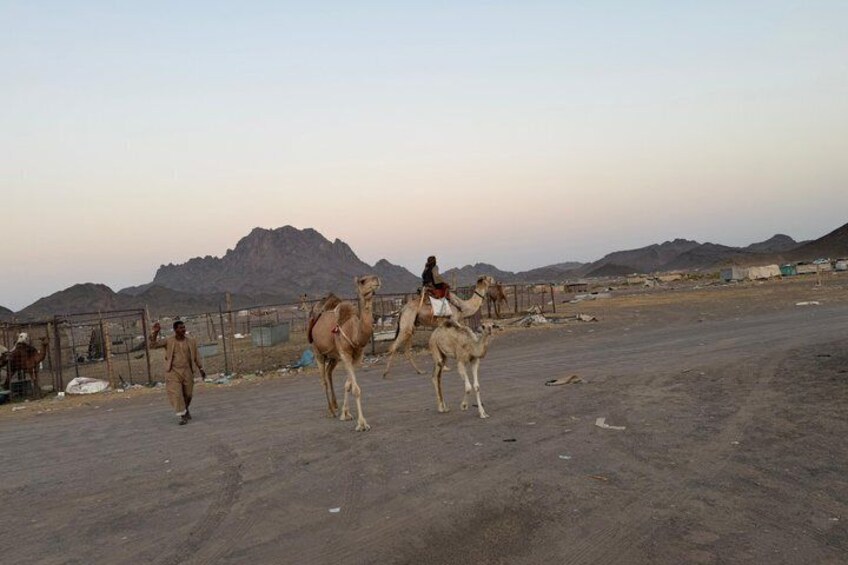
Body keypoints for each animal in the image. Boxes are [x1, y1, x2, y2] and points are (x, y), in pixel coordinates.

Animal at [309, 275, 381, 431]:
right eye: (362, 281)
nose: (376, 279)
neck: (353, 331)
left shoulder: (356, 357)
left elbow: (348, 385)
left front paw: (345, 413)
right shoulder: (345, 354)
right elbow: (356, 389)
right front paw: (362, 424)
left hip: (333, 357)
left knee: (329, 373)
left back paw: (335, 406)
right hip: (317, 352)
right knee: (323, 380)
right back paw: (330, 410)